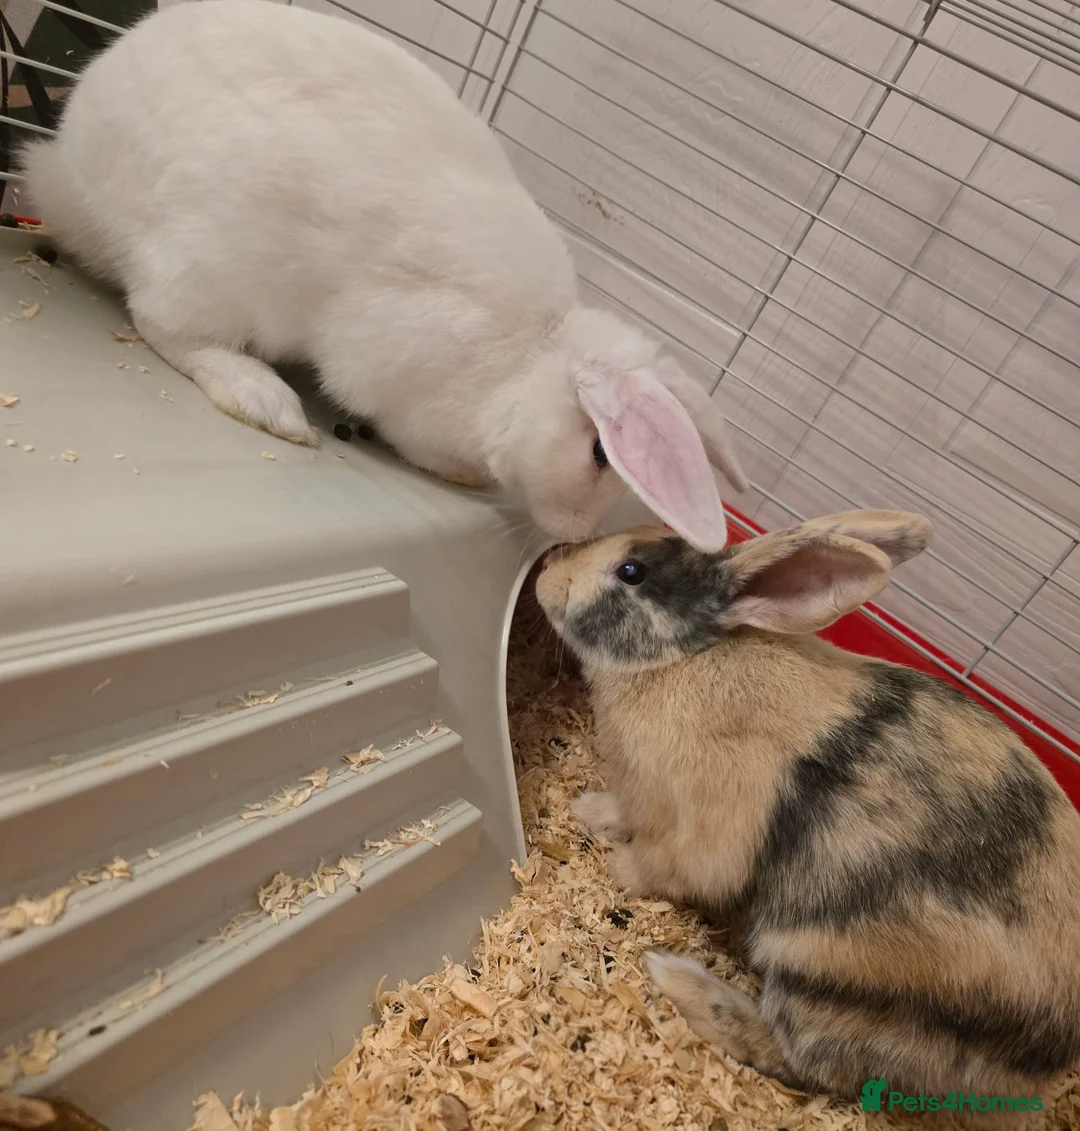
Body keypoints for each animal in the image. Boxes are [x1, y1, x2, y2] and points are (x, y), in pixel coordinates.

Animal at [20, 0, 746, 551]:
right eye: (599, 453)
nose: (578, 534)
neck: (532, 353)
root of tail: (67, 165)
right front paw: (468, 477)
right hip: (214, 264)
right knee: (164, 325)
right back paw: (270, 402)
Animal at [535, 511, 1080, 1115]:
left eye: (632, 571)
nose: (545, 572)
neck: (688, 659)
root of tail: (1044, 1066)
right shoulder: (641, 797)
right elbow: (623, 810)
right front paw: (587, 809)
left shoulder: (702, 836)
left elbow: (660, 866)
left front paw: (616, 868)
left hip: (824, 980)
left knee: (795, 1058)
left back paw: (675, 977)